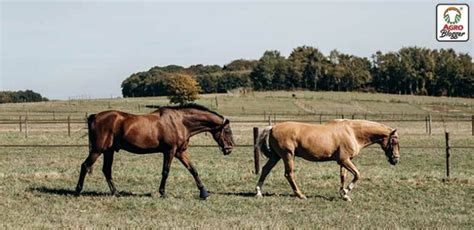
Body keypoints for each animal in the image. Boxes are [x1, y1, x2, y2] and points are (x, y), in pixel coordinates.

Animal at [74, 104, 235, 199]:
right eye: (227, 130)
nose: (229, 149)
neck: (180, 122)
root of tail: (95, 116)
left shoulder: (180, 152)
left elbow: (193, 170)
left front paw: (204, 193)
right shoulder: (170, 151)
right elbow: (165, 172)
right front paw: (162, 193)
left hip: (109, 151)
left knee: (106, 170)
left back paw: (116, 193)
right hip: (97, 150)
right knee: (85, 166)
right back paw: (77, 191)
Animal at [254, 119, 398, 200]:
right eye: (395, 141)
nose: (396, 160)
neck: (352, 132)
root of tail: (273, 127)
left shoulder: (344, 161)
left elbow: (343, 177)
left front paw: (344, 195)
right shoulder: (344, 160)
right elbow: (357, 174)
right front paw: (346, 191)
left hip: (276, 156)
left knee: (265, 170)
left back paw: (258, 192)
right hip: (288, 156)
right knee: (289, 174)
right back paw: (300, 195)